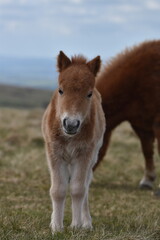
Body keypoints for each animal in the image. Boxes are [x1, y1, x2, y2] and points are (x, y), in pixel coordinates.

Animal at [42, 51, 105, 233]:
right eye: (60, 90)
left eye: (89, 94)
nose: (70, 124)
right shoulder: (54, 154)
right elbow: (57, 190)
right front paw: (56, 227)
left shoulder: (84, 155)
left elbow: (78, 189)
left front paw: (76, 226)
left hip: (93, 157)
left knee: (86, 185)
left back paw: (87, 223)